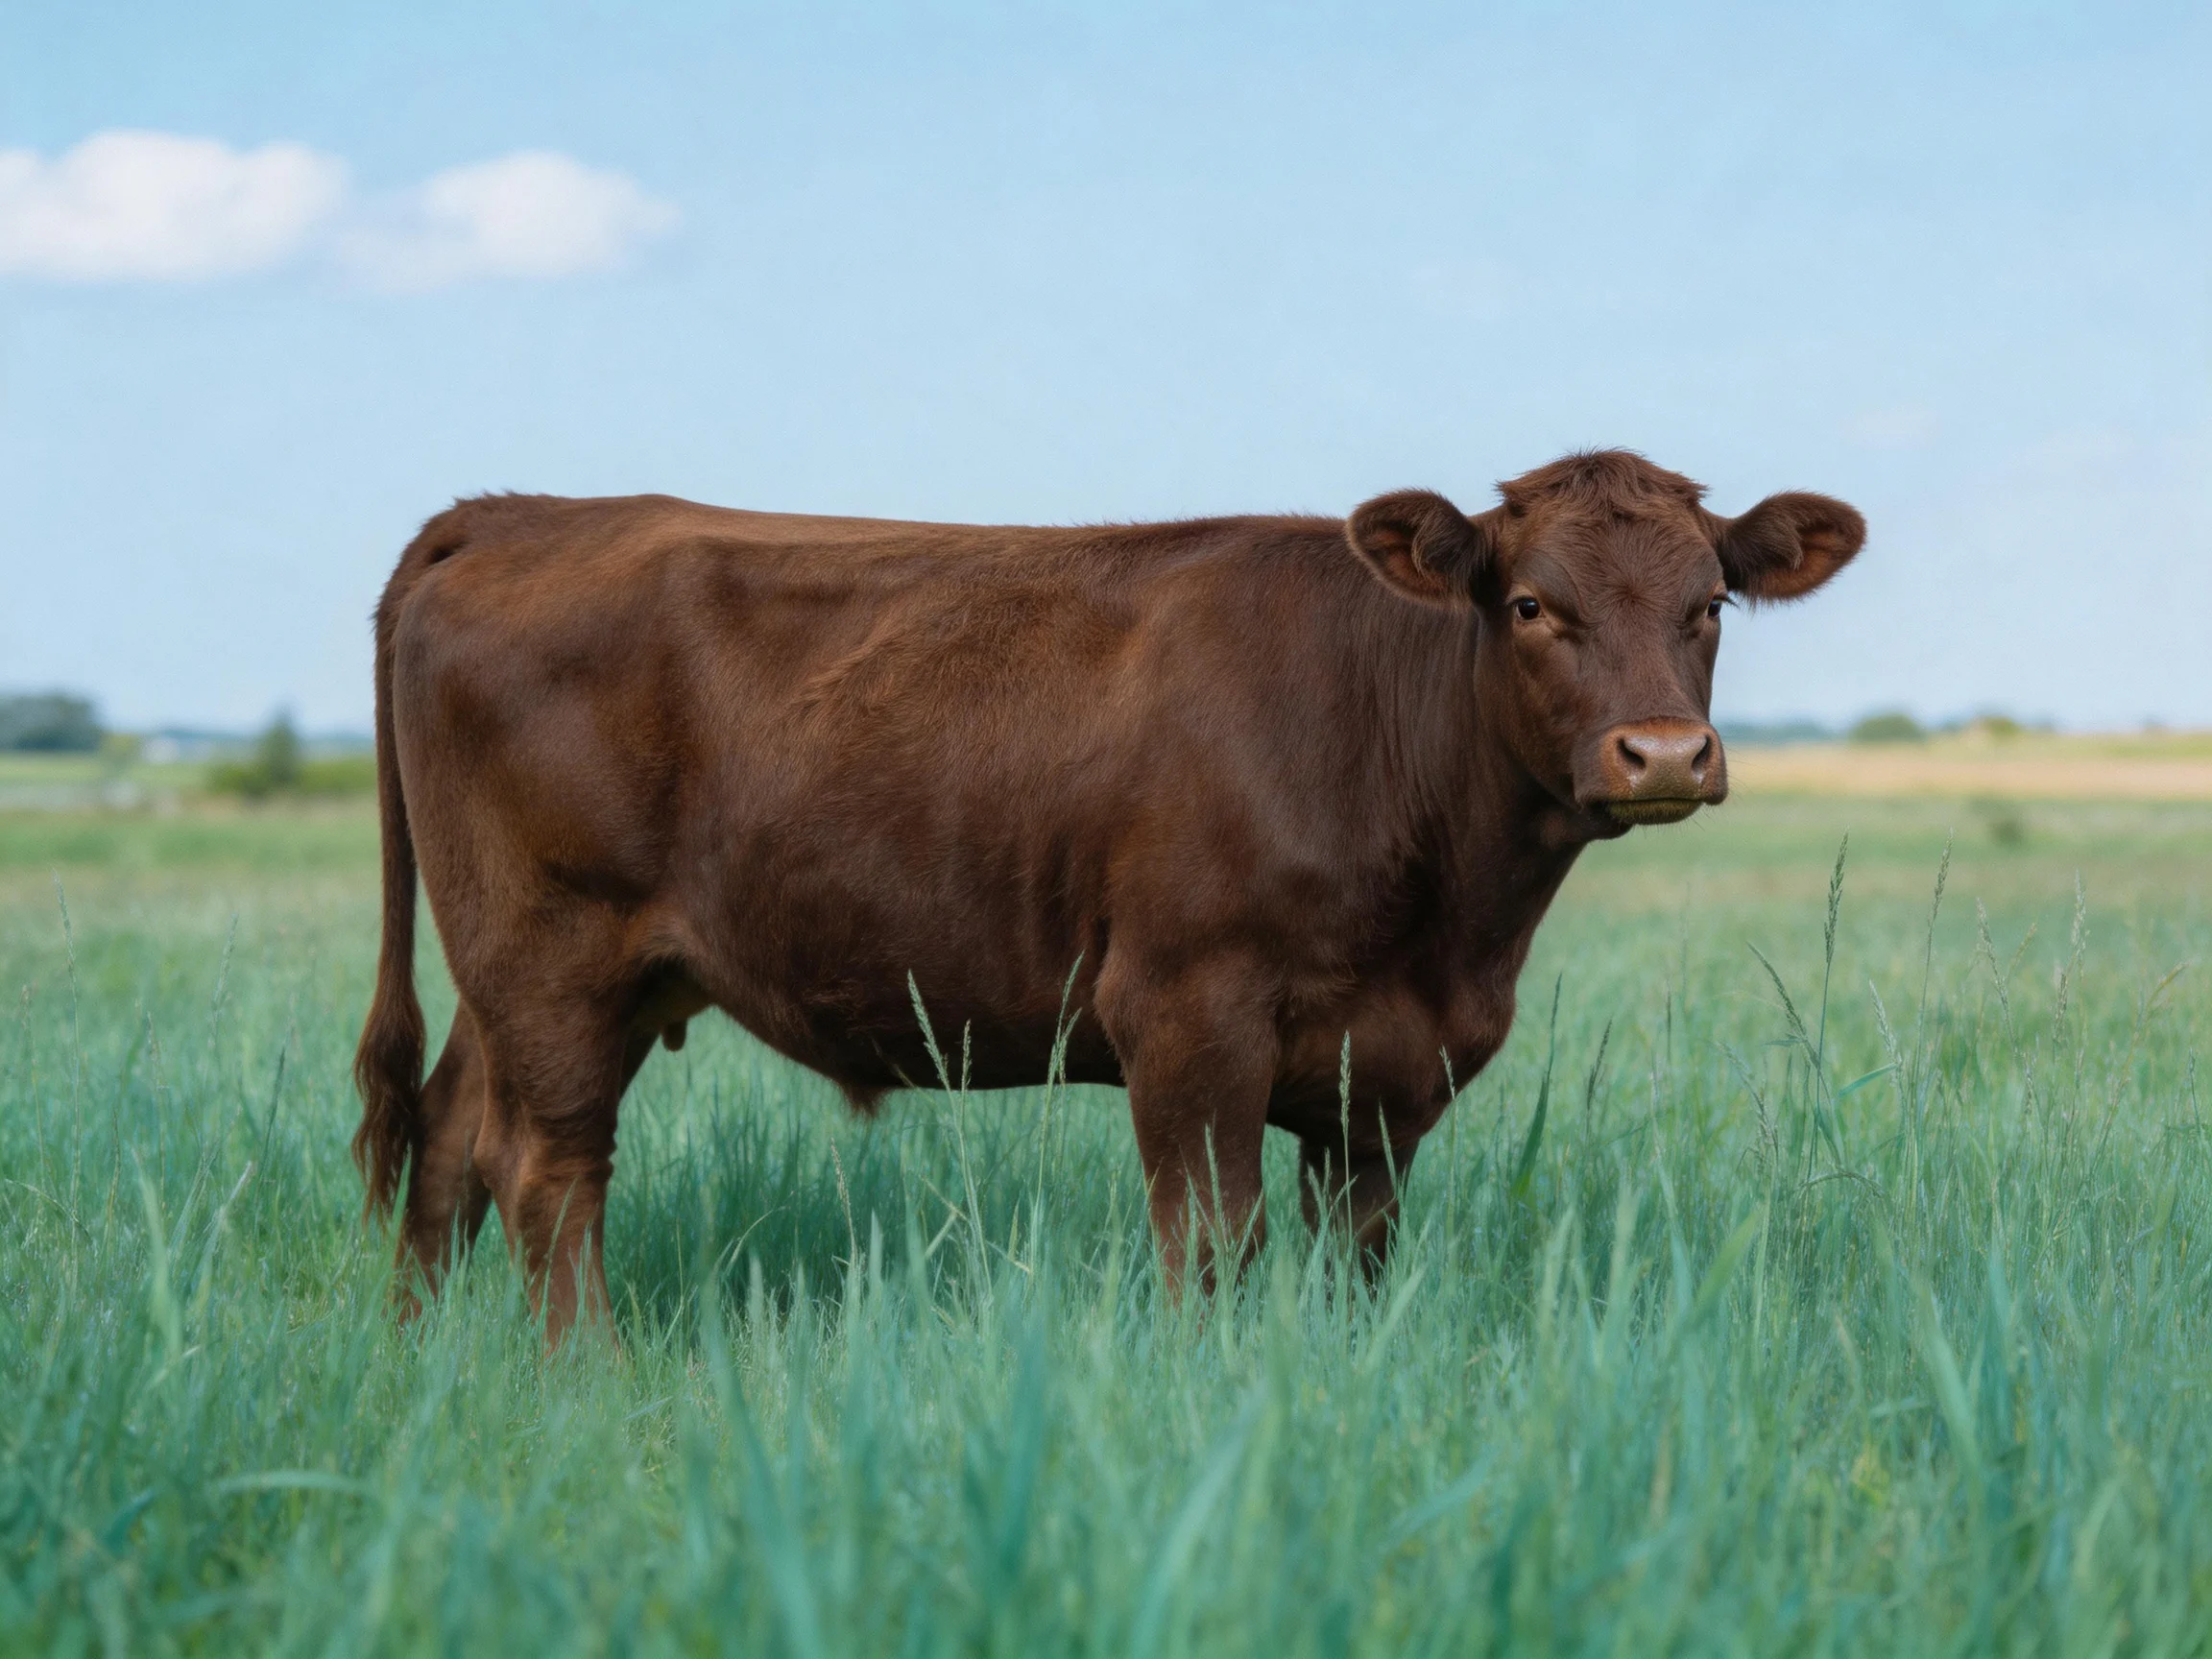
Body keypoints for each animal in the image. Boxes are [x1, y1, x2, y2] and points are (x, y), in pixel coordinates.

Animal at [352, 449, 1862, 1339]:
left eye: (1710, 604)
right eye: (1534, 604)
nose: (1661, 753)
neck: (1453, 927)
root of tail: (516, 515)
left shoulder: (1392, 1067)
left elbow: (1356, 1249)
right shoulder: (1186, 1013)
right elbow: (1215, 1244)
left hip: (514, 970)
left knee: (451, 1135)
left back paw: (426, 1356)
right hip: (556, 951)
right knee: (547, 1168)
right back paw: (588, 1376)